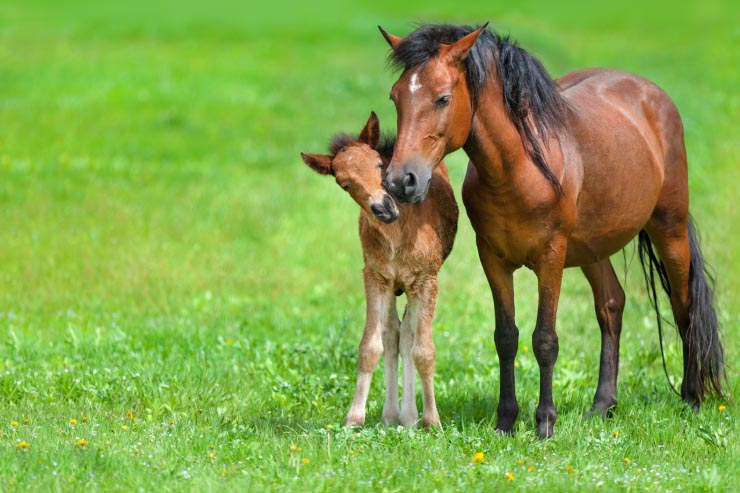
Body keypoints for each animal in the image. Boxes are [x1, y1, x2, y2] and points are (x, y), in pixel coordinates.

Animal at [301, 112, 459, 428]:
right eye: (344, 183)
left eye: (378, 164)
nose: (384, 208)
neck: (397, 236)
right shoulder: (375, 278)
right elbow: (370, 346)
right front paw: (354, 417)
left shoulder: (426, 280)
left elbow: (424, 350)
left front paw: (431, 420)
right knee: (393, 333)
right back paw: (392, 414)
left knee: (407, 334)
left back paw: (409, 415)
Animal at [377, 23, 724, 438]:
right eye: (396, 96)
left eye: (443, 98)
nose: (401, 181)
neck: (519, 168)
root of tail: (653, 95)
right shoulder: (492, 258)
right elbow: (506, 337)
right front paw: (506, 421)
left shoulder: (551, 257)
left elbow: (545, 339)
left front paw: (544, 422)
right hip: (593, 248)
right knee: (611, 306)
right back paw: (602, 406)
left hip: (668, 228)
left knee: (683, 305)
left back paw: (691, 399)